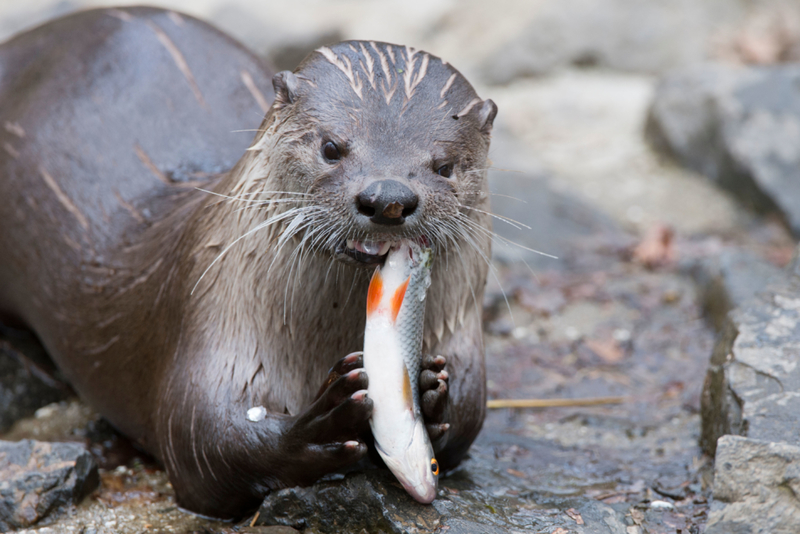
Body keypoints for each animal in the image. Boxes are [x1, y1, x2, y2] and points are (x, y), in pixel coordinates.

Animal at [0, 6, 496, 520]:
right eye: (331, 147)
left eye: (445, 165)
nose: (388, 198)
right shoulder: (209, 322)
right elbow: (204, 441)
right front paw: (323, 423)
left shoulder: (461, 339)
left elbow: (470, 416)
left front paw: (433, 396)